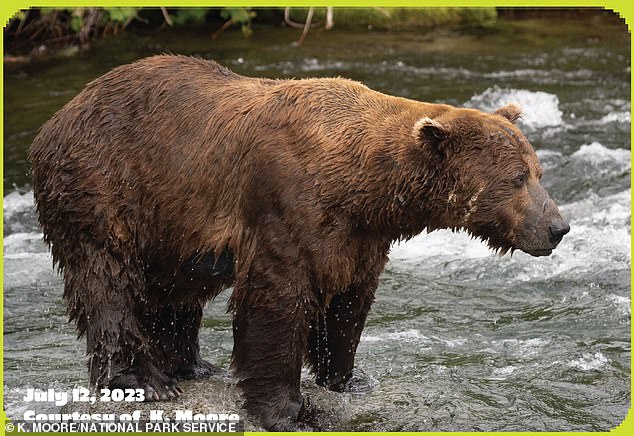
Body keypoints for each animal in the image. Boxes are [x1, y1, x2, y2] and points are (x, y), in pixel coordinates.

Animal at [29, 54, 568, 430]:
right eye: (518, 178)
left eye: (538, 172)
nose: (558, 227)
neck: (365, 186)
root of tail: (55, 118)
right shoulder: (286, 206)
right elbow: (277, 300)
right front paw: (288, 408)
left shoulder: (360, 238)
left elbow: (349, 305)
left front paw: (348, 378)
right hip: (103, 186)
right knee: (108, 280)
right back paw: (145, 380)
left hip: (171, 226)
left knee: (173, 292)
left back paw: (192, 366)